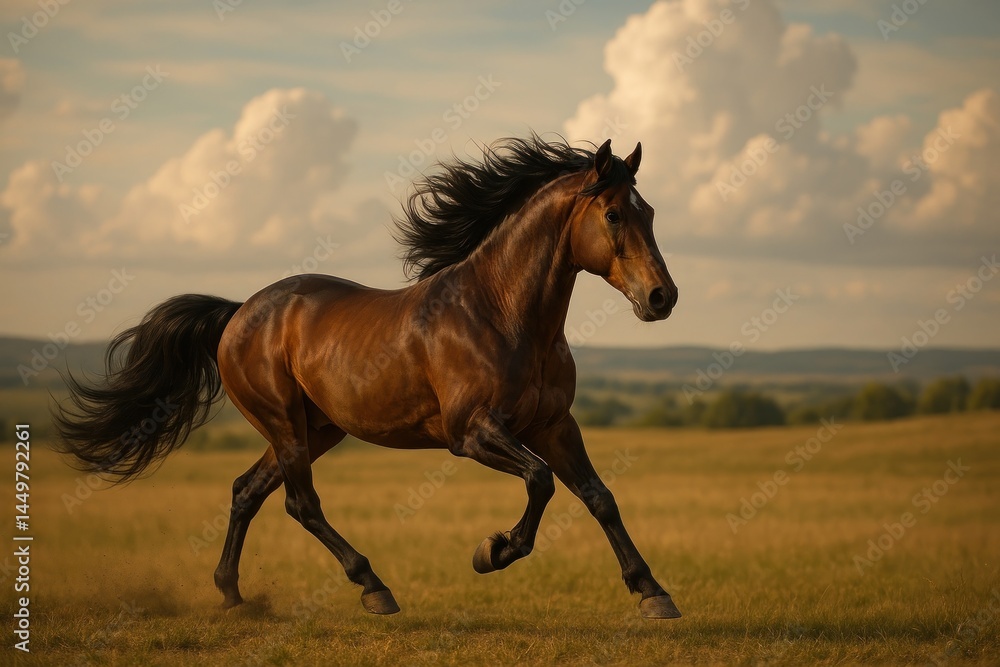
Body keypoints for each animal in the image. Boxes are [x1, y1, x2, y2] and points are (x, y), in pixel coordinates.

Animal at [55, 135, 681, 619]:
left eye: (650, 212)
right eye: (614, 214)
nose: (662, 297)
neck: (503, 313)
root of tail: (238, 313)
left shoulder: (554, 425)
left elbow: (599, 497)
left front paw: (653, 593)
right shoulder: (471, 433)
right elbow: (541, 481)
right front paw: (493, 551)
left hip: (317, 429)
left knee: (247, 491)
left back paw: (232, 594)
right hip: (285, 423)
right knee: (300, 503)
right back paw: (374, 588)